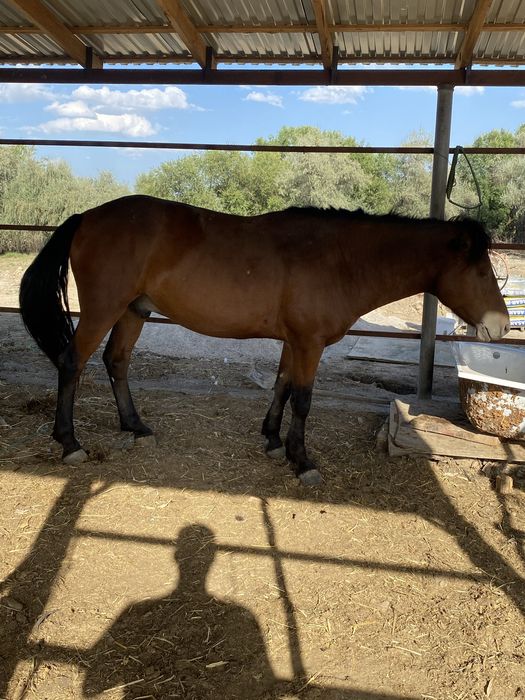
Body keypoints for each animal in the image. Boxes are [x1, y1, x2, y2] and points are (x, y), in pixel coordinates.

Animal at [19, 195, 509, 485]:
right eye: (482, 271)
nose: (503, 326)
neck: (339, 259)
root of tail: (88, 217)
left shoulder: (294, 341)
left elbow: (281, 386)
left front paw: (274, 440)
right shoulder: (310, 343)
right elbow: (303, 399)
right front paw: (302, 460)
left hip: (132, 312)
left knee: (116, 361)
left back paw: (135, 426)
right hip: (103, 311)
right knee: (72, 362)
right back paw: (70, 443)